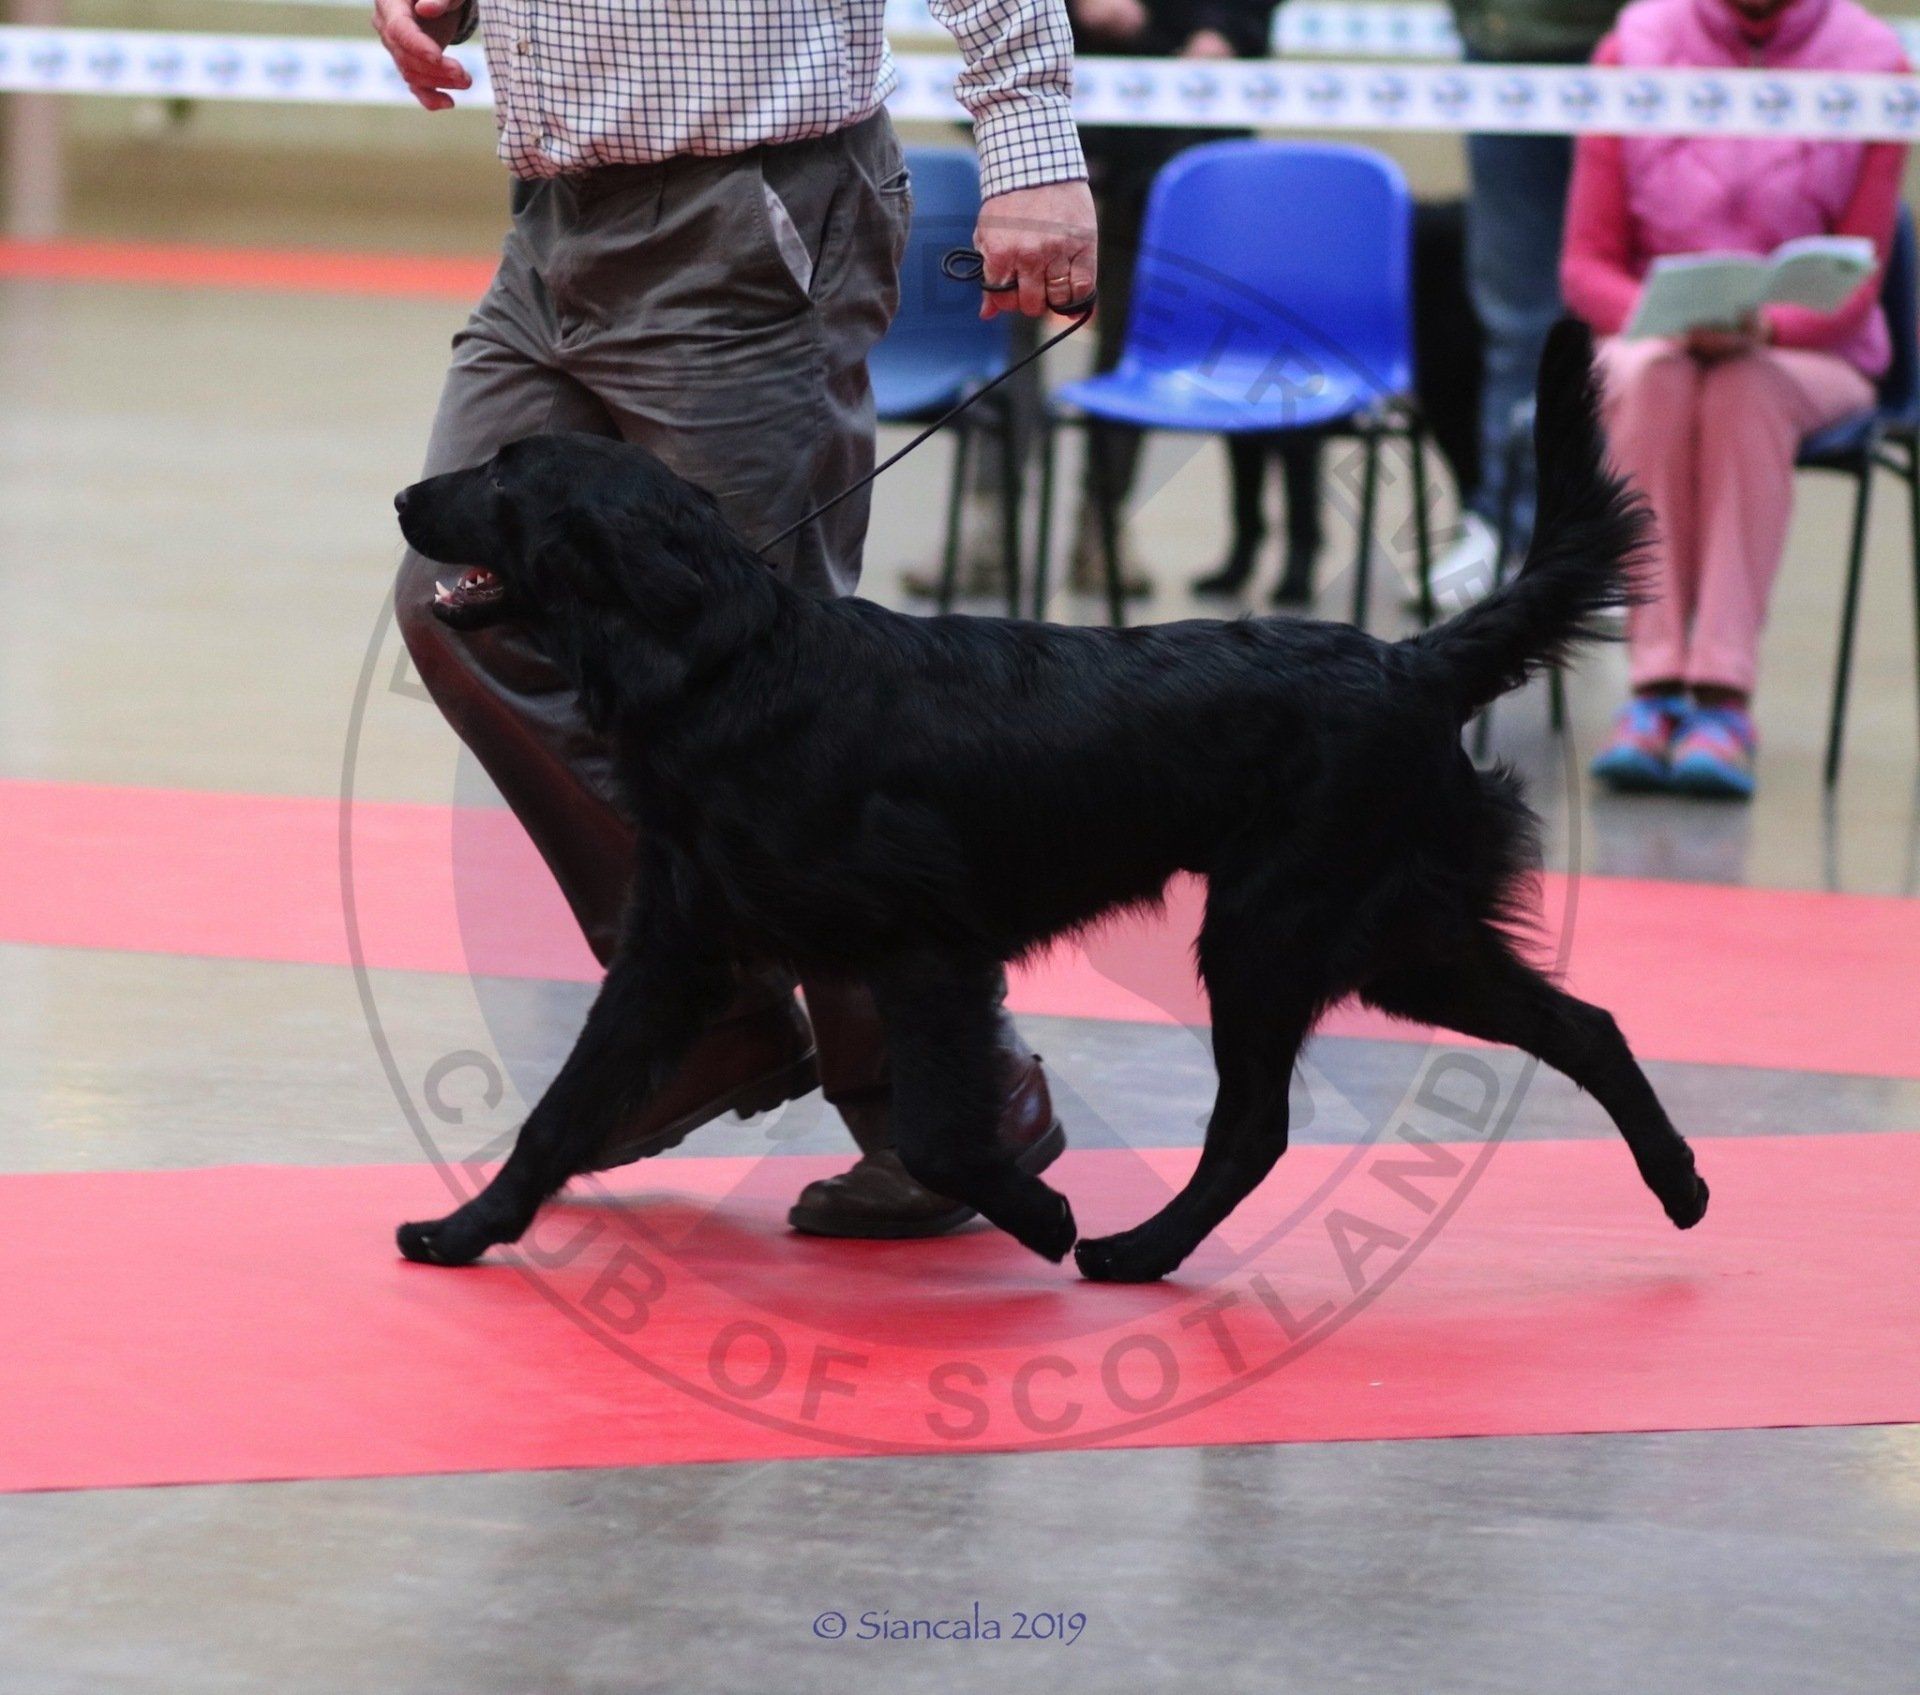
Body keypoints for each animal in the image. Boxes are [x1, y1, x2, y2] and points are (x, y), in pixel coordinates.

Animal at [391, 321, 1707, 1283]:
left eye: (506, 476)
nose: (407, 498)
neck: (729, 668)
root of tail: (1413, 662)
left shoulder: (927, 947)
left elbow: (935, 1129)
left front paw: (1039, 1211)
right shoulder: (672, 942)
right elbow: (562, 1108)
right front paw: (462, 1233)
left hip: (1276, 927)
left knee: (1256, 1126)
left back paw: (1131, 1250)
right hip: (1397, 936)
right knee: (1586, 1026)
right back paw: (1684, 1184)